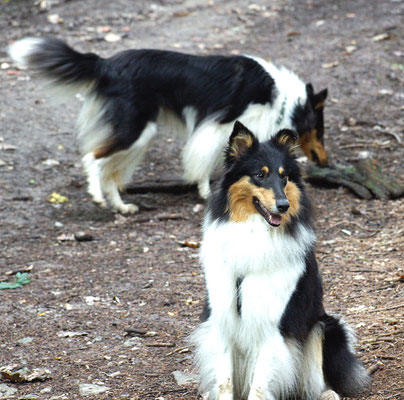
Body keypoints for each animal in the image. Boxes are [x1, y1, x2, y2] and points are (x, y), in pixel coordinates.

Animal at [8, 38, 328, 214]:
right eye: (320, 130)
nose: (326, 161)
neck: (281, 97)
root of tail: (106, 63)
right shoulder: (218, 123)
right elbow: (204, 160)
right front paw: (205, 191)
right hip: (133, 130)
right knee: (92, 158)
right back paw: (97, 196)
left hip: (142, 135)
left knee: (111, 171)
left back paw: (121, 207)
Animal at [192, 122, 370, 400]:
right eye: (260, 175)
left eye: (284, 177)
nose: (284, 206)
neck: (254, 233)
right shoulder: (222, 320)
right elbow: (225, 382)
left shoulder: (273, 327)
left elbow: (259, 386)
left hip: (326, 327)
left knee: (316, 383)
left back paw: (327, 394)